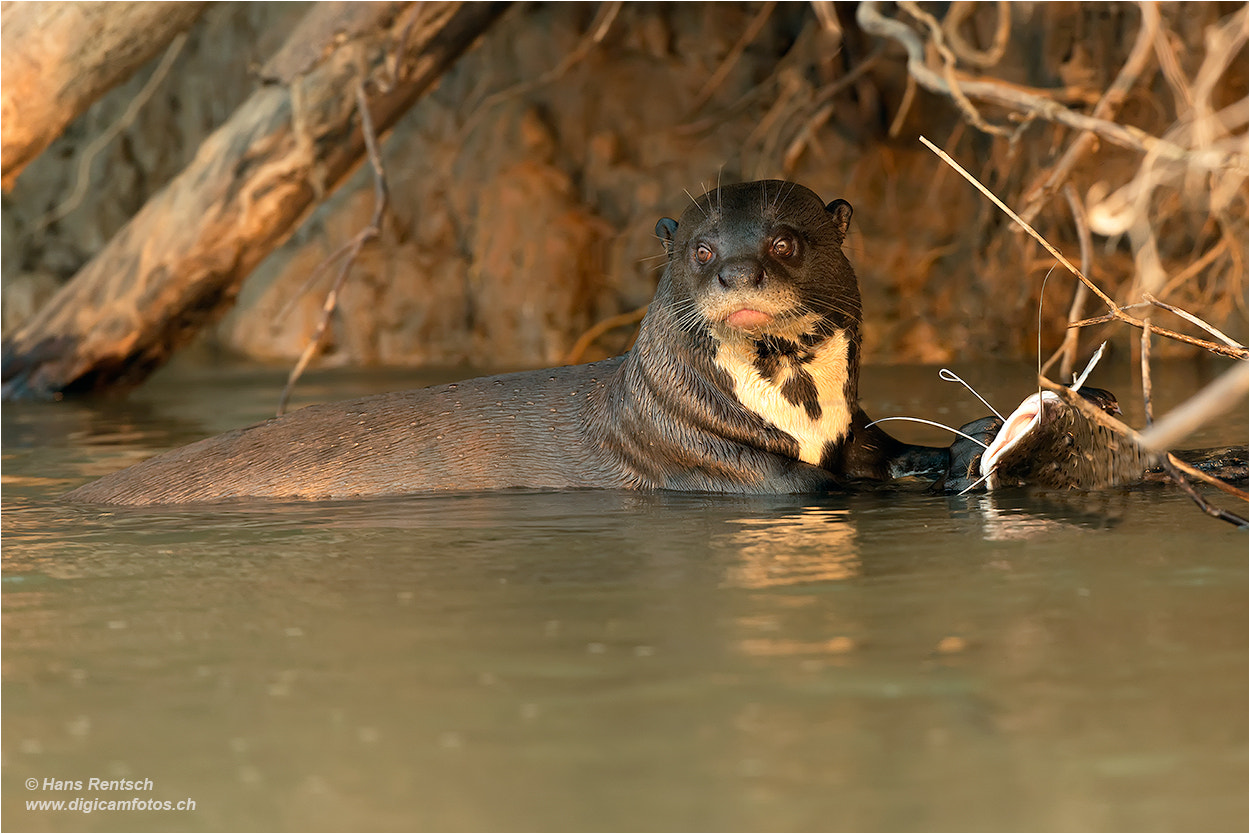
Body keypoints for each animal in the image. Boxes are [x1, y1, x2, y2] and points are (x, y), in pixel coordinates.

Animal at [65, 180, 956, 505]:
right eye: (701, 250)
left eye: (784, 241)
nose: (738, 272)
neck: (801, 415)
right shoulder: (707, 462)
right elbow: (811, 486)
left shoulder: (854, 429)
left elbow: (885, 451)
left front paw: (947, 456)